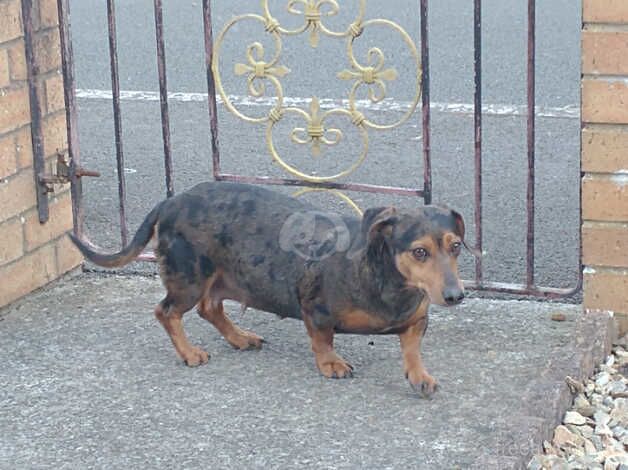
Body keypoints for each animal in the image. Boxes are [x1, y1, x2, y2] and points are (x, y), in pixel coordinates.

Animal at [72, 182, 466, 398]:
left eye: (456, 245)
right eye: (419, 252)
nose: (455, 297)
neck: (386, 279)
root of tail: (170, 201)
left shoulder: (416, 320)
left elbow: (412, 350)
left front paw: (420, 377)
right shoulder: (315, 309)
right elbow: (322, 340)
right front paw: (331, 364)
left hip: (223, 278)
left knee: (210, 309)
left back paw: (239, 337)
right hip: (189, 278)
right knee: (167, 311)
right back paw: (189, 353)